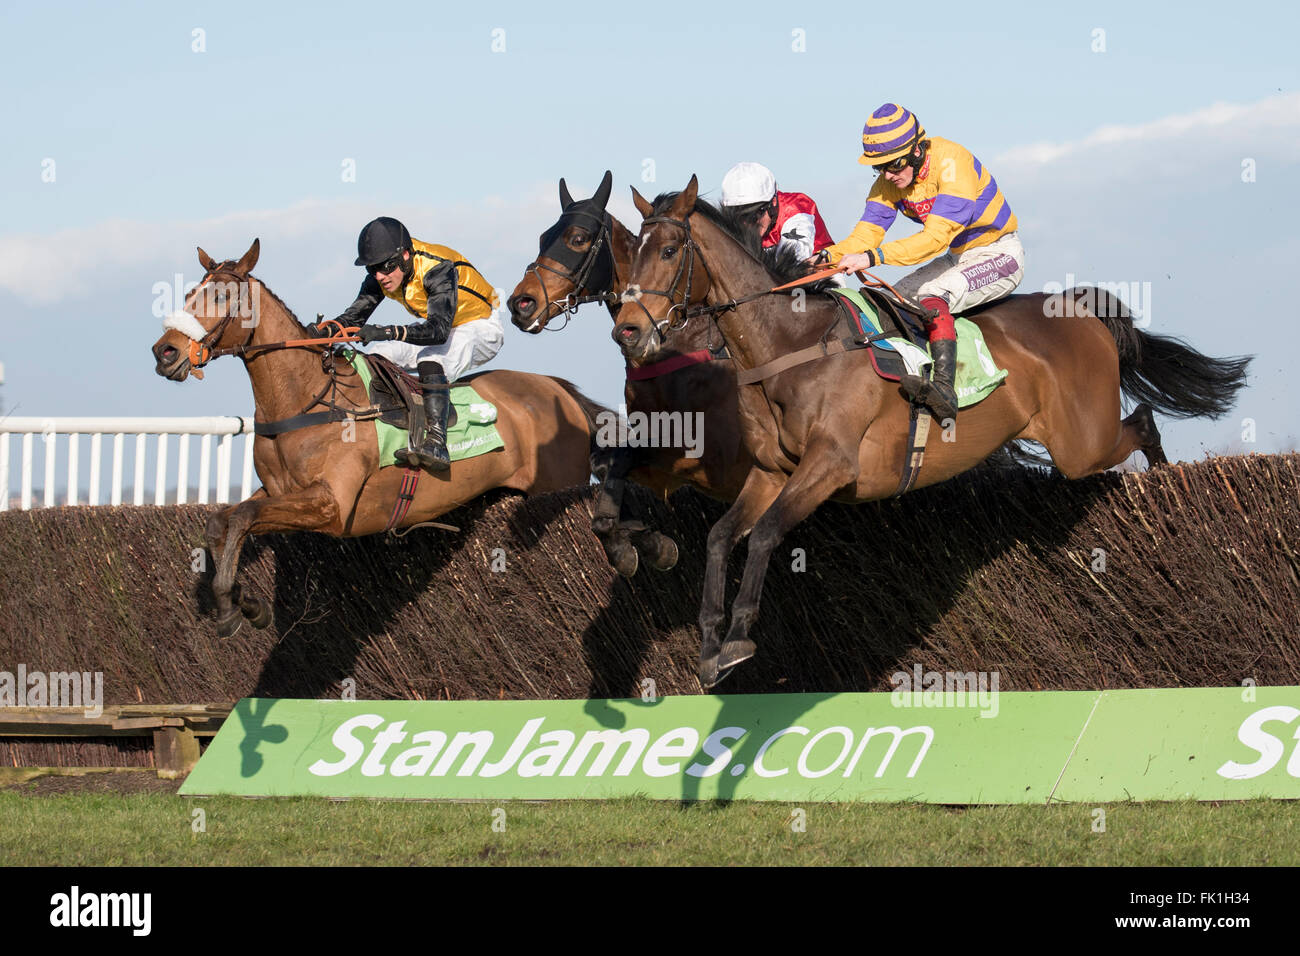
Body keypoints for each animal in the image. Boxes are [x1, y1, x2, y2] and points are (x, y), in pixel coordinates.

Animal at [150, 239, 603, 639]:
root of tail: (559, 390)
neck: (307, 399)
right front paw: (242, 602)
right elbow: (222, 520)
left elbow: (243, 517)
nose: (164, 352)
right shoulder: (281, 491)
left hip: (554, 485)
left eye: (222, 297)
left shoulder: (331, 507)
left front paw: (232, 607)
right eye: (189, 294)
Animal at [506, 171, 754, 574]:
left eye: (578, 238)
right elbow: (606, 462)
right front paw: (640, 541)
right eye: (543, 237)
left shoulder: (715, 455)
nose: (521, 304)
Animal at [613, 178, 1253, 686]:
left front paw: (740, 640)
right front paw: (708, 647)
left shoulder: (831, 465)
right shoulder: (772, 473)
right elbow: (722, 536)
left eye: (668, 250)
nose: (628, 332)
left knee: (1141, 422)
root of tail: (1076, 306)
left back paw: (1166, 487)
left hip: (1081, 443)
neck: (790, 346)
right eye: (628, 259)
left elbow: (768, 534)